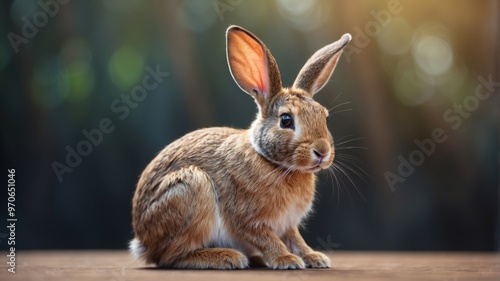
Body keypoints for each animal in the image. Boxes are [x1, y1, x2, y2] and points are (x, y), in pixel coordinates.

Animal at [131, 25, 354, 268]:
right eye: (286, 120)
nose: (322, 152)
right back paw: (227, 257)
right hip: (190, 187)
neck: (273, 162)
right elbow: (268, 239)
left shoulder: (288, 224)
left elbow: (295, 239)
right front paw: (286, 260)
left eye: (324, 116)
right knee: (171, 256)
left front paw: (314, 257)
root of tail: (143, 240)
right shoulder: (248, 220)